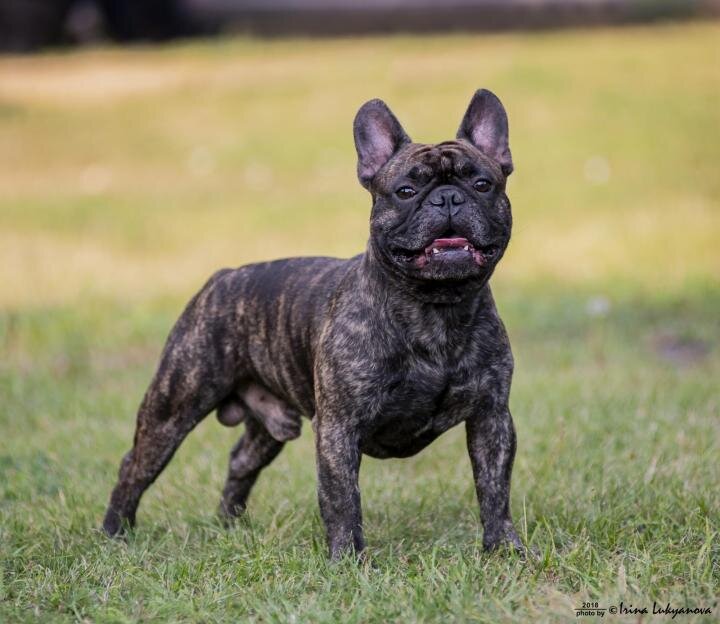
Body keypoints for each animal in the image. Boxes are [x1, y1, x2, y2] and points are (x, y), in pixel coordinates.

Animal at [102, 89, 524, 560]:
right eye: (406, 190)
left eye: (482, 184)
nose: (448, 198)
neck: (436, 307)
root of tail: (223, 276)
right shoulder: (339, 427)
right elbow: (342, 498)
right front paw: (348, 559)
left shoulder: (491, 418)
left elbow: (494, 488)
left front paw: (504, 549)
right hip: (173, 406)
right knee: (136, 465)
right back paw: (115, 532)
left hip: (269, 422)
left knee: (241, 458)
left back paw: (230, 523)